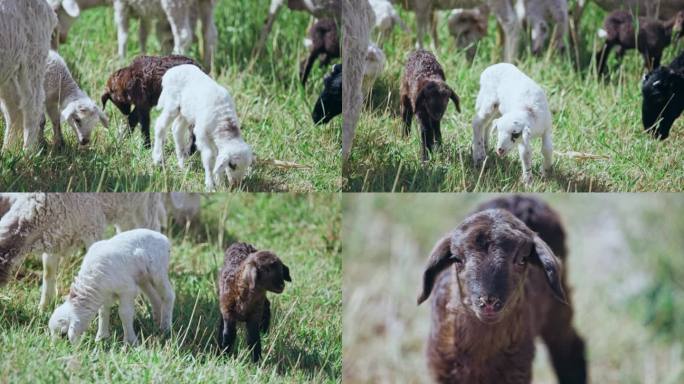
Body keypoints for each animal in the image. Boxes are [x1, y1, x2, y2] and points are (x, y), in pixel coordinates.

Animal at [0, 0, 57, 153]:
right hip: (9, 65)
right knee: (14, 108)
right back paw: (8, 151)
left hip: (34, 55)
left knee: (33, 104)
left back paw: (27, 153)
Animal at [0, 194, 167, 310]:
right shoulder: (54, 239)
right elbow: (48, 272)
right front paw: (43, 308)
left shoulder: (92, 227)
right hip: (126, 211)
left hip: (144, 206)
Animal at [416, 196, 588, 382]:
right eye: (457, 259)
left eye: (522, 259)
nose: (488, 303)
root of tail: (520, 198)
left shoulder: (518, 371)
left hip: (556, 308)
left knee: (570, 348)